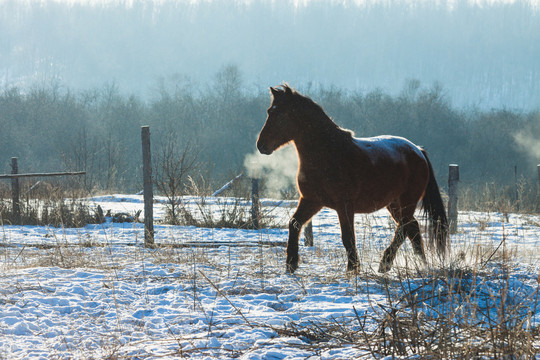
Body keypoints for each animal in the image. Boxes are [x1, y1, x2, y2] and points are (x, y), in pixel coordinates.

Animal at [256, 84, 448, 274]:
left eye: (282, 115)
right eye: (269, 111)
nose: (261, 145)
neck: (328, 154)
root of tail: (418, 150)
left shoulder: (344, 206)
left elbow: (348, 237)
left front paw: (353, 268)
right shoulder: (311, 200)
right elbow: (294, 223)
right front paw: (291, 264)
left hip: (407, 202)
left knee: (404, 228)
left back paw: (385, 264)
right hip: (394, 204)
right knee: (412, 227)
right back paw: (420, 263)